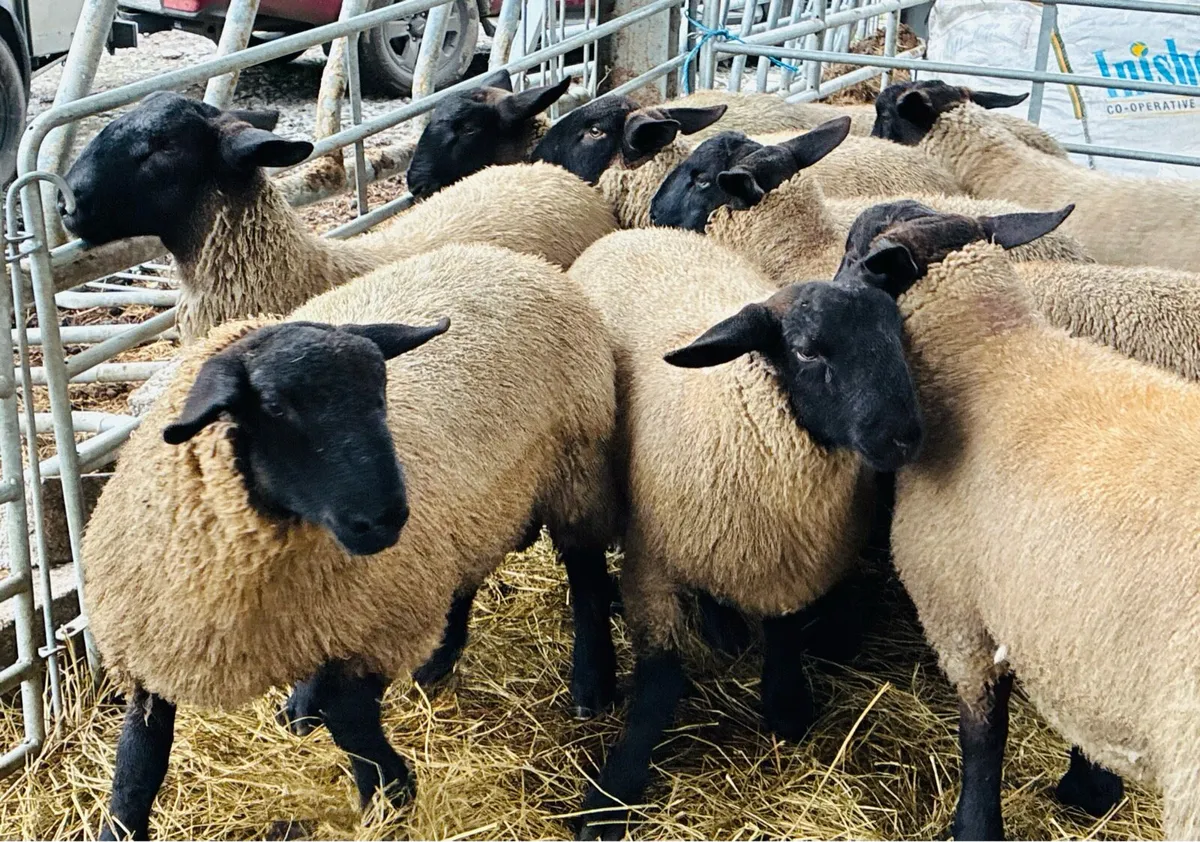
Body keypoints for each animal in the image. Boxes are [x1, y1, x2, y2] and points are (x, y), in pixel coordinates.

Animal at [85, 242, 620, 839]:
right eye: (274, 407)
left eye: (382, 389)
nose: (386, 519)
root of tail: (511, 257)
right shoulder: (150, 647)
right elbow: (139, 761)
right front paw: (119, 825)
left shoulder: (374, 623)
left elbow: (351, 721)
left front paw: (389, 791)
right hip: (475, 507)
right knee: (466, 573)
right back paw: (433, 661)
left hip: (576, 469)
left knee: (586, 575)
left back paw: (591, 684)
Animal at [565, 227, 923, 840]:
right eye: (807, 351)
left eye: (896, 333)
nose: (904, 436)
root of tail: (629, 232)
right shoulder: (652, 560)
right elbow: (660, 682)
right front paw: (613, 794)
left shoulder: (787, 559)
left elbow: (783, 633)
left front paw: (786, 705)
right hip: (579, 473)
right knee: (582, 570)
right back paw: (592, 678)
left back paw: (723, 626)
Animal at [835, 202, 1200, 840]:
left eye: (852, 254)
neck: (991, 352)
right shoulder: (1066, 628)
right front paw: (1091, 786)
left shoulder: (958, 612)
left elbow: (983, 736)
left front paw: (975, 824)